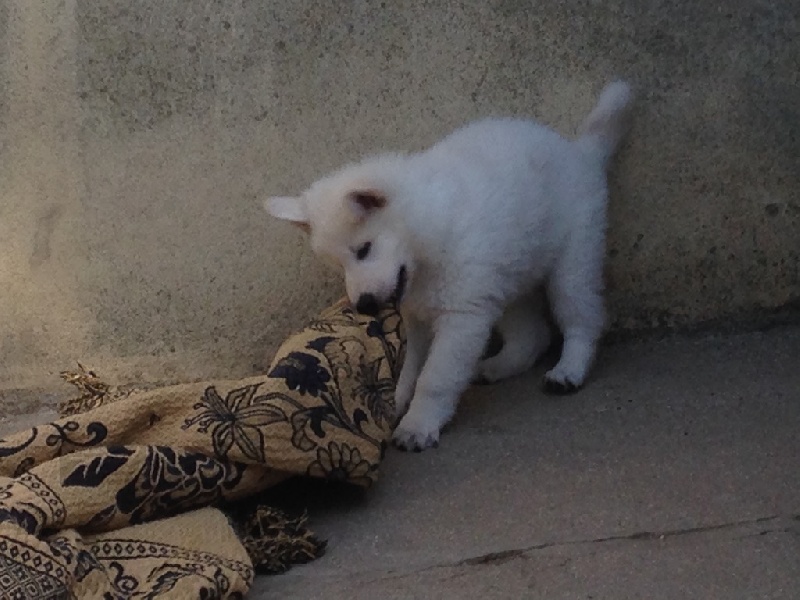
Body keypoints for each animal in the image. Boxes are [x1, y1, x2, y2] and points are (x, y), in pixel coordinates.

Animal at [264, 81, 634, 451]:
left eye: (364, 250)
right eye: (339, 265)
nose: (365, 306)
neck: (428, 237)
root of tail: (580, 152)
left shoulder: (462, 318)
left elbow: (434, 379)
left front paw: (418, 424)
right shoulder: (422, 317)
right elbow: (411, 368)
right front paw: (398, 403)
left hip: (571, 265)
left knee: (582, 320)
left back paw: (569, 370)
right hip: (510, 278)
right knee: (532, 334)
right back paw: (498, 366)